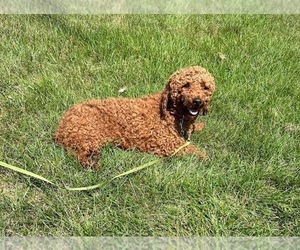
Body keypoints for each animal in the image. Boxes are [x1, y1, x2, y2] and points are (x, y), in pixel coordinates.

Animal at [54, 66, 216, 168]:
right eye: (186, 85)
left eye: (205, 87)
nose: (197, 101)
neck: (172, 111)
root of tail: (60, 128)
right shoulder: (168, 143)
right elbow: (194, 150)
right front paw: (209, 159)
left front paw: (199, 126)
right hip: (88, 134)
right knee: (81, 155)